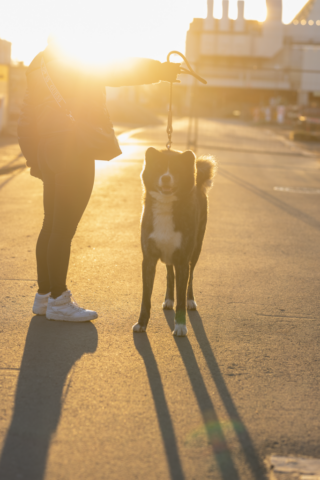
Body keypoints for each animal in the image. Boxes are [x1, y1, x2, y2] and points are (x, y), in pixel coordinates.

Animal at [132, 148, 215, 336]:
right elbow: (145, 298)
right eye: (159, 166)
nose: (166, 178)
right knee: (170, 274)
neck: (166, 206)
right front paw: (142, 323)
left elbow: (182, 296)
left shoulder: (183, 260)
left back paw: (190, 300)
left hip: (196, 250)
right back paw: (169, 299)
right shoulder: (148, 260)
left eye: (176, 169)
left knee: (190, 278)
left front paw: (180, 326)